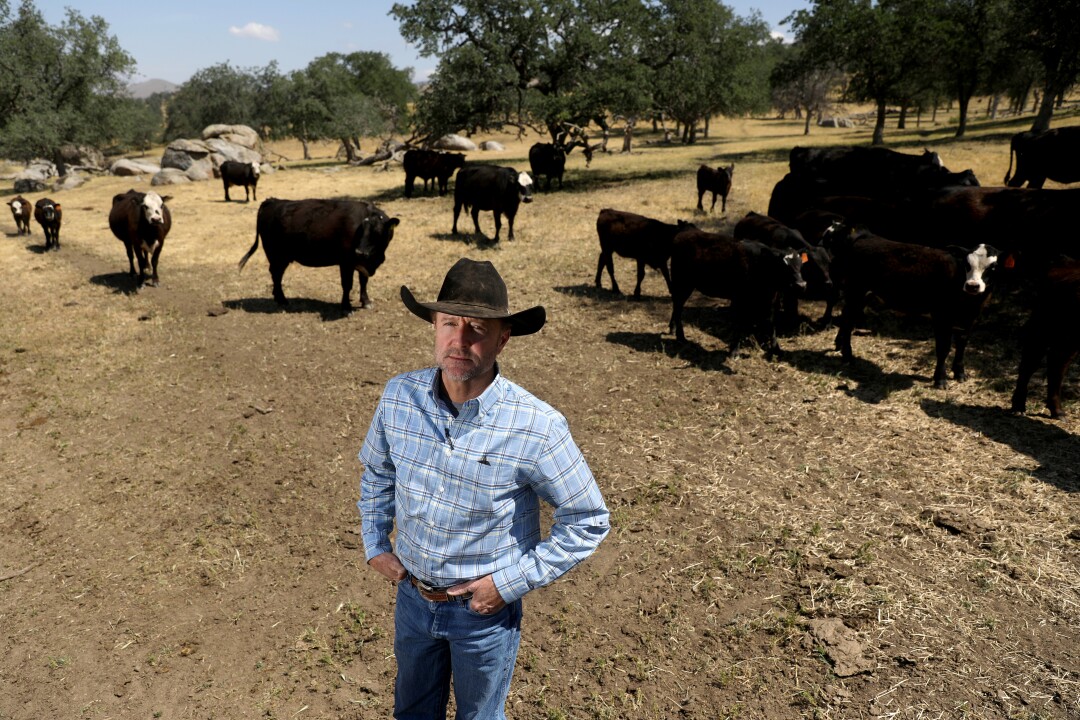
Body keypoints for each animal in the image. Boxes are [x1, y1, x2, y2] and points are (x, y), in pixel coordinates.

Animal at [237, 197, 401, 313]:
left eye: (377, 232)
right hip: (276, 255)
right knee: (276, 275)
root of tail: (272, 201)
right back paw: (282, 299)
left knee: (276, 275)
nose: (360, 252)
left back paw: (278, 297)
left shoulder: (363, 263)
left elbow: (363, 281)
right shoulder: (346, 262)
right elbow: (347, 284)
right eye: (361, 230)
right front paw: (346, 306)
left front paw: (366, 302)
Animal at [669, 227, 807, 358]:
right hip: (682, 282)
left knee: (677, 305)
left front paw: (776, 349)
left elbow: (771, 323)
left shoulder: (771, 300)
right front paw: (734, 351)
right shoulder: (739, 299)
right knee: (677, 306)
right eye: (783, 266)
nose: (801, 284)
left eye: (800, 264)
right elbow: (739, 323)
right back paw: (680, 336)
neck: (759, 266)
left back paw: (673, 329)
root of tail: (682, 234)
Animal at [825, 223, 1002, 388]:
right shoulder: (940, 315)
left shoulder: (971, 317)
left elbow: (962, 345)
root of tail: (867, 236)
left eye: (993, 267)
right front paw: (940, 379)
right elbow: (943, 347)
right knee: (848, 320)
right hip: (855, 290)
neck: (968, 301)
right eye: (966, 264)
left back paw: (839, 346)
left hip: (862, 295)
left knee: (847, 316)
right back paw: (848, 356)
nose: (972, 286)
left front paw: (960, 373)